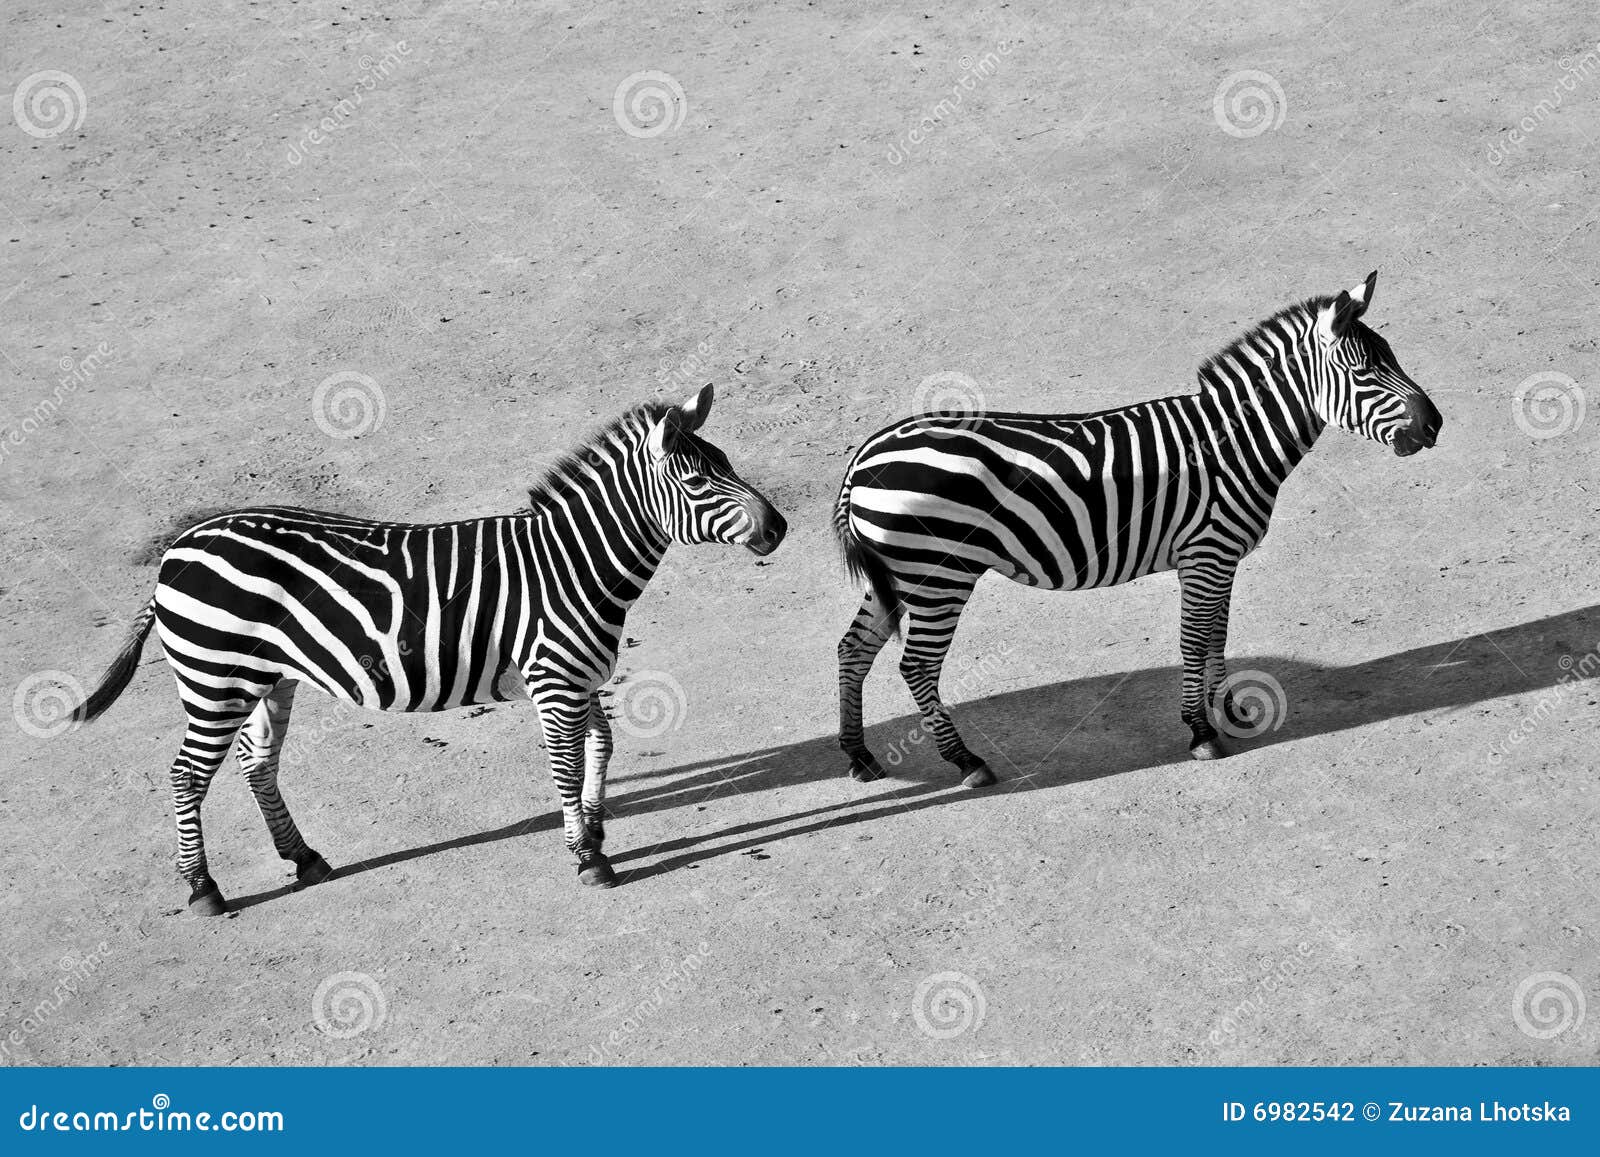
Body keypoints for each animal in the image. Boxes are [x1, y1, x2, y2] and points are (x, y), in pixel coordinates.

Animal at [68, 385, 786, 914]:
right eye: (699, 482)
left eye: (727, 463)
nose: (779, 527)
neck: (572, 566)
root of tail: (177, 548)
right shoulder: (555, 680)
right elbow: (565, 765)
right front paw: (587, 857)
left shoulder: (577, 677)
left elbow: (601, 747)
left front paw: (595, 826)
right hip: (216, 677)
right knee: (187, 774)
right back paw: (203, 889)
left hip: (265, 678)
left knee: (256, 762)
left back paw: (303, 857)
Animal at [834, 272, 1442, 785]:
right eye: (1364, 373)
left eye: (1393, 358)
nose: (1435, 425)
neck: (1234, 443)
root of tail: (862, 458)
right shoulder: (1206, 554)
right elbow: (1195, 639)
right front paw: (1200, 731)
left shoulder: (1218, 558)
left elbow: (1217, 633)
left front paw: (1230, 708)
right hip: (939, 576)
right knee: (916, 665)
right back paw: (966, 761)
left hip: (897, 576)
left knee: (852, 649)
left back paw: (860, 757)